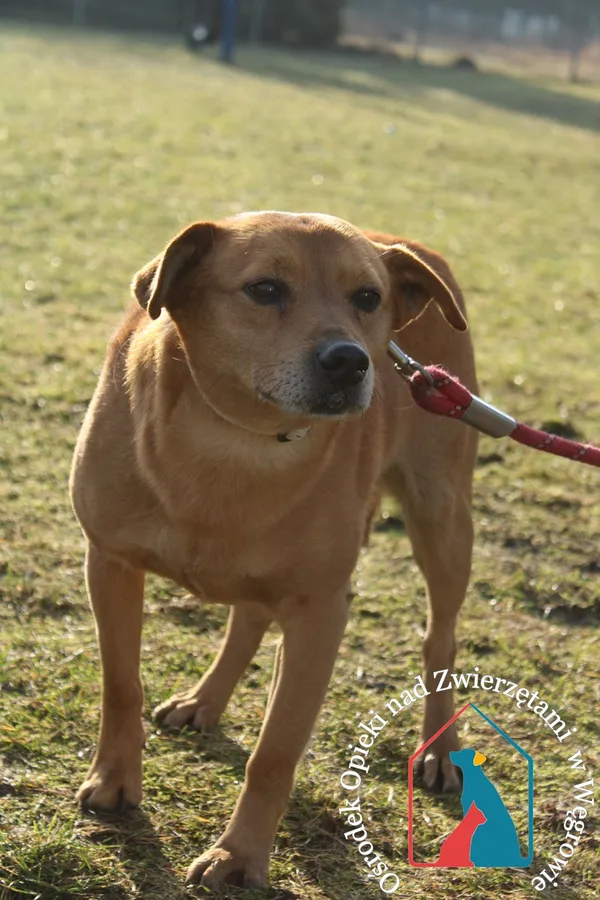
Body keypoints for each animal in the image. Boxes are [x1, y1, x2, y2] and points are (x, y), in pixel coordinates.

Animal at [69, 209, 478, 884]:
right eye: (265, 289)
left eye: (368, 298)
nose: (350, 362)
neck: (233, 438)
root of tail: (412, 242)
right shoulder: (110, 562)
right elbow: (121, 684)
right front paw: (114, 783)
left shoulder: (320, 613)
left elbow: (275, 751)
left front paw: (238, 856)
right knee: (250, 615)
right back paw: (205, 699)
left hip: (442, 516)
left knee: (438, 637)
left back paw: (441, 748)